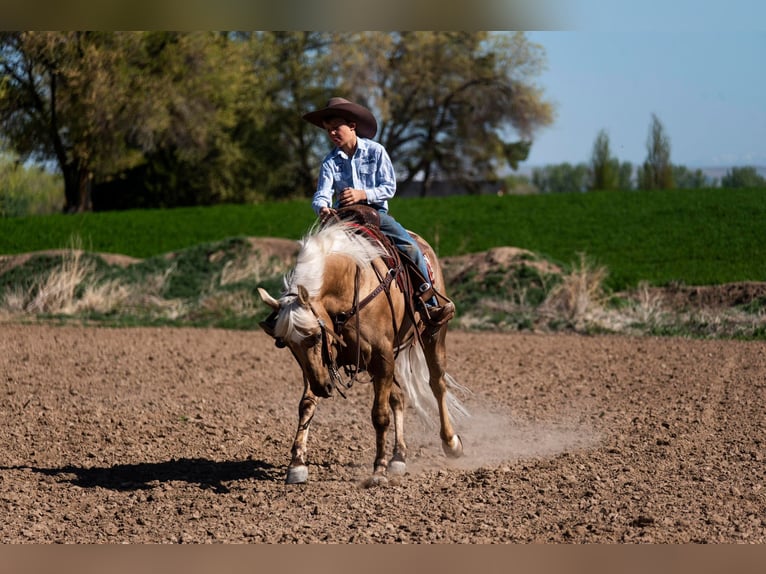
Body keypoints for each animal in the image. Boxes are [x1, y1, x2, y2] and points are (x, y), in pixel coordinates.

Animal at [260, 216, 468, 486]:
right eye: (285, 344)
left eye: (315, 336)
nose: (323, 388)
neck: (348, 288)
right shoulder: (326, 364)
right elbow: (306, 404)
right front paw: (297, 464)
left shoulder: (381, 356)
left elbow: (379, 415)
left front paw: (378, 470)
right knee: (398, 396)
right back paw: (398, 457)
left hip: (433, 336)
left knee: (437, 384)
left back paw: (451, 443)